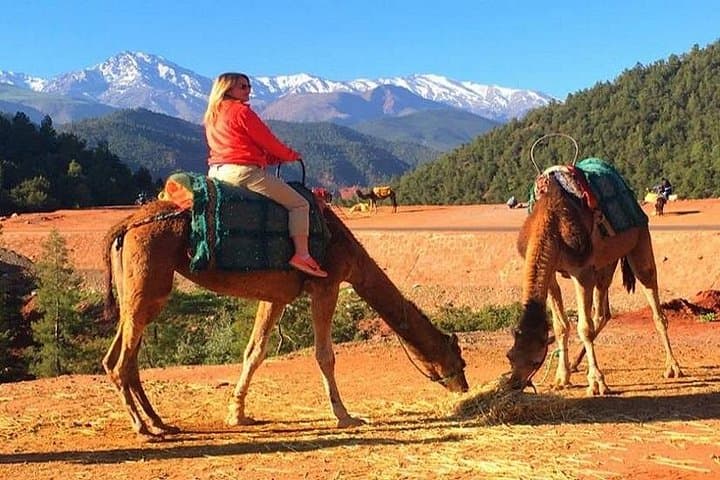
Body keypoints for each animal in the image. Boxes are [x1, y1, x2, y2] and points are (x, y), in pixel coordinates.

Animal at [102, 200, 468, 438]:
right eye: (459, 359)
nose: (463, 386)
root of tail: (124, 226)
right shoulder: (326, 283)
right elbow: (324, 355)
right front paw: (345, 416)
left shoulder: (275, 295)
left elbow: (254, 352)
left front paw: (237, 414)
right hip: (149, 281)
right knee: (122, 361)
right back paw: (143, 428)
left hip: (137, 291)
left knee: (120, 357)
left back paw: (160, 422)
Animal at [506, 173, 682, 396]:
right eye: (509, 356)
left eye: (537, 361)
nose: (514, 384)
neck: (550, 223)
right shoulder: (553, 273)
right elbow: (561, 326)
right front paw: (561, 378)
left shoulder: (581, 272)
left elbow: (584, 328)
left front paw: (597, 382)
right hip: (605, 263)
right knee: (603, 312)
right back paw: (574, 364)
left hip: (640, 239)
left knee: (654, 304)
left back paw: (673, 367)